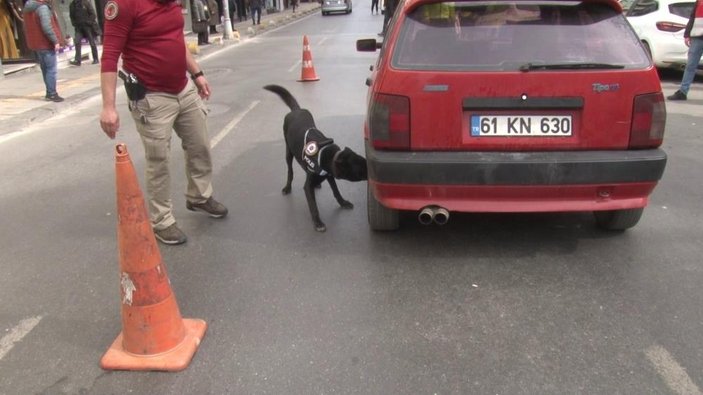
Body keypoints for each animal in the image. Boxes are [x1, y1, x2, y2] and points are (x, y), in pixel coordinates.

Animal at [264, 83, 368, 232]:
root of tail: (296, 110)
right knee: (290, 171)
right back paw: (288, 187)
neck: (328, 156)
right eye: (360, 169)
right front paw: (318, 222)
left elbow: (336, 191)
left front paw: (343, 202)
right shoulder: (308, 187)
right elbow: (313, 206)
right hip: (288, 152)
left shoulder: (329, 175)